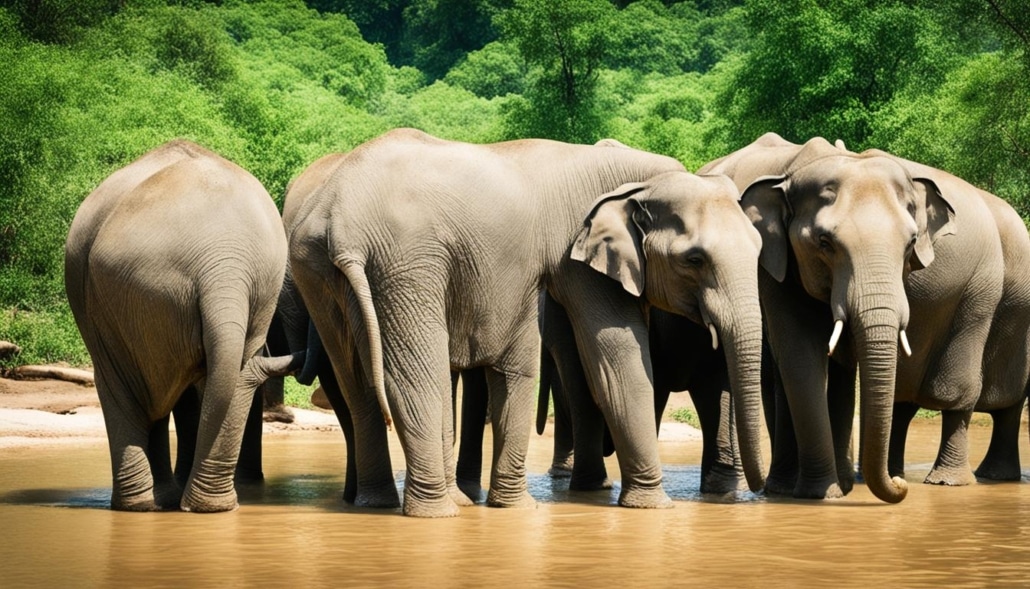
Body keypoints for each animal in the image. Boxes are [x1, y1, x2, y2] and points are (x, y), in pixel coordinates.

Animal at [286, 128, 767, 517]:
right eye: (695, 260)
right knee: (417, 377)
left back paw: (380, 504)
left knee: (357, 385)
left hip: (315, 268)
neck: (642, 178)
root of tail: (341, 222)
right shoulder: (579, 253)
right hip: (407, 260)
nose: (758, 492)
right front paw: (654, 507)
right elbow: (617, 357)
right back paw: (438, 512)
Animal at [699, 132, 1011, 503]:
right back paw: (785, 488)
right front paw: (823, 494)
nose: (902, 487)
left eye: (911, 243)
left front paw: (840, 490)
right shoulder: (776, 266)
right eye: (824, 242)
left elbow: (842, 364)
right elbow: (801, 357)